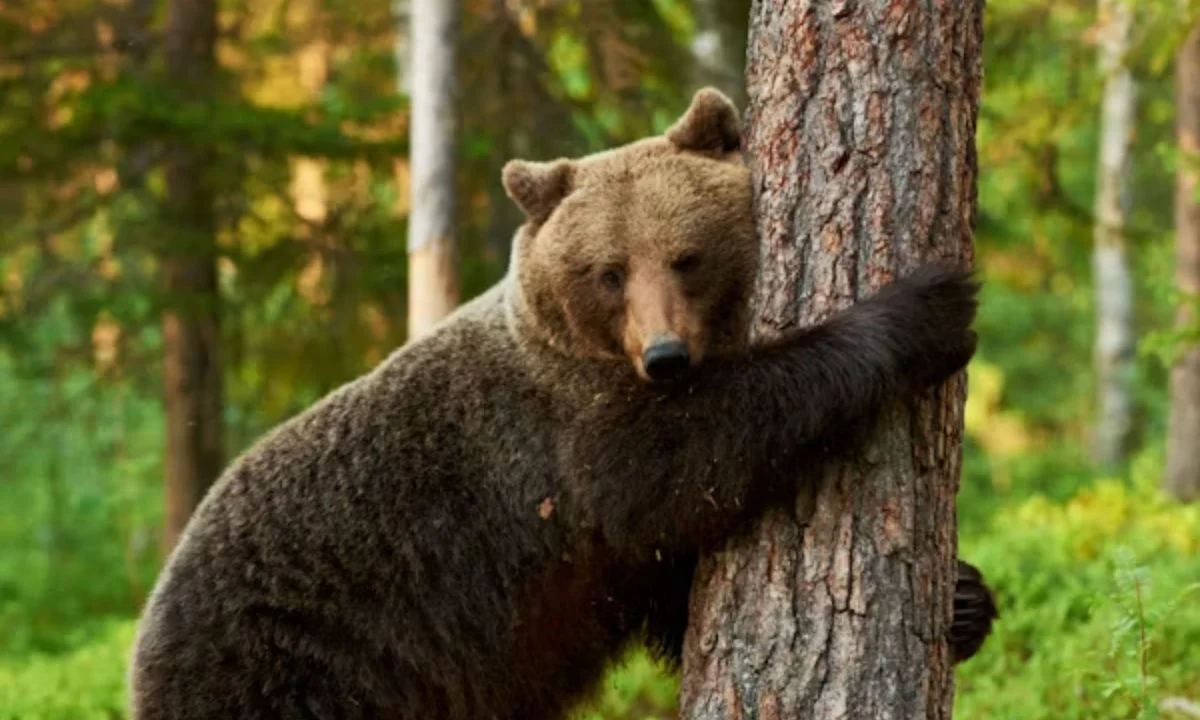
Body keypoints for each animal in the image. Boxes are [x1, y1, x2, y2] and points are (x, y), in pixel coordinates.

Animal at [127, 87, 995, 720]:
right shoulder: (559, 443)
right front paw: (928, 308)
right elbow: (681, 465)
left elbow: (675, 585)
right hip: (292, 660)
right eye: (608, 271)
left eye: (687, 256)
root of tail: (146, 629)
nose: (665, 356)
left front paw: (964, 600)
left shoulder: (613, 553)